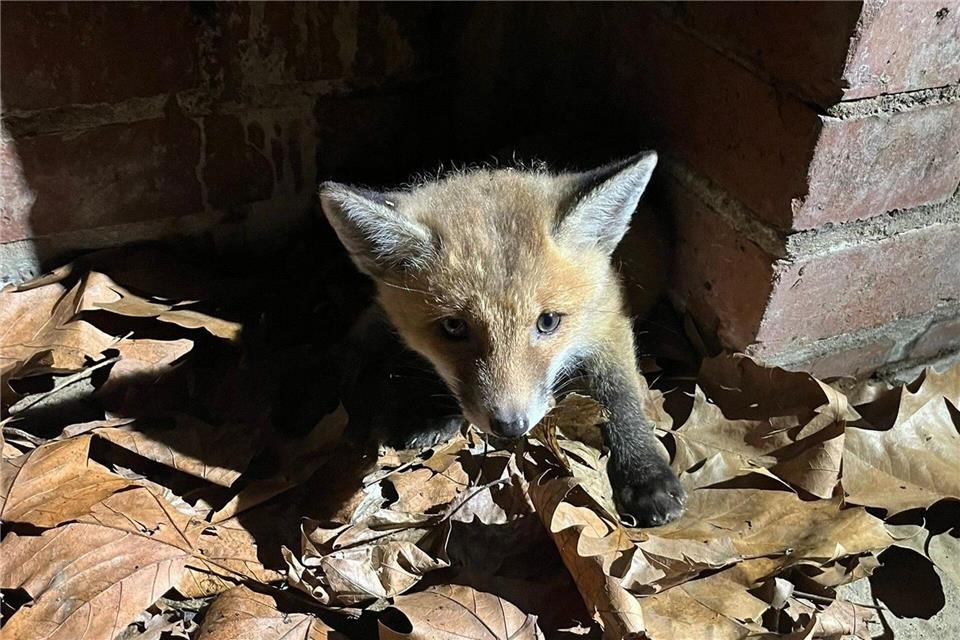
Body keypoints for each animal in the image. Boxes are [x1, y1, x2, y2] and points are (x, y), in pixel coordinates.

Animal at [319, 151, 684, 527]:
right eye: (453, 327)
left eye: (548, 322)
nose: (510, 426)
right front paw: (431, 413)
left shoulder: (607, 317)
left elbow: (620, 396)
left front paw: (644, 473)